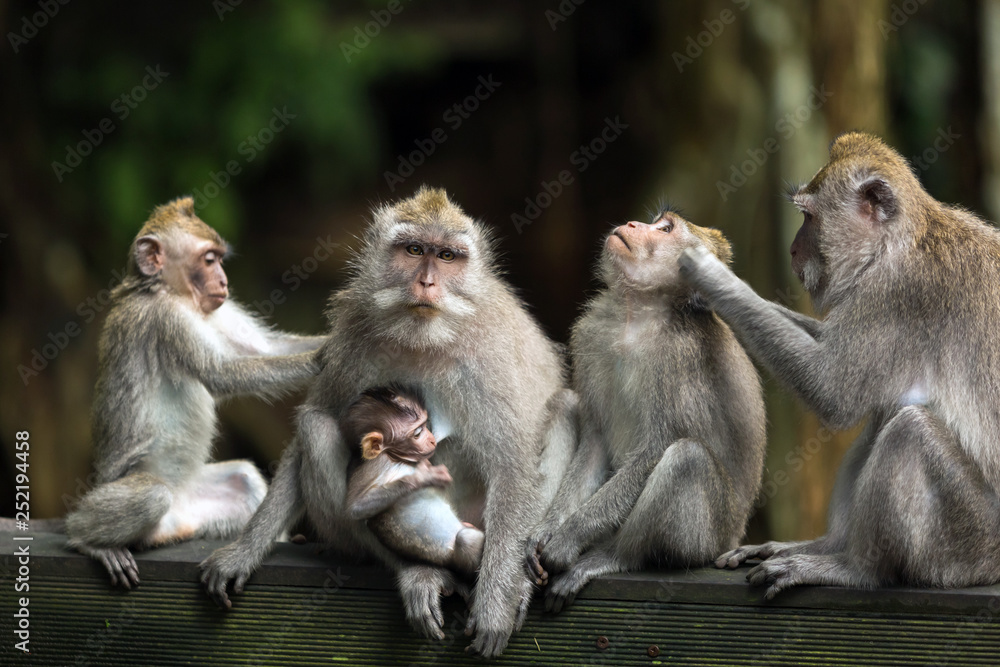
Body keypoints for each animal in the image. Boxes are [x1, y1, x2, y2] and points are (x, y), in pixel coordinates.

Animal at [65, 197, 324, 588]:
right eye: (208, 259)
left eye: (218, 258)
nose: (224, 281)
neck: (162, 290)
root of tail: (176, 523)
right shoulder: (167, 317)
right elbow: (221, 374)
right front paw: (324, 357)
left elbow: (264, 349)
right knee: (147, 496)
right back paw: (88, 541)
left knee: (243, 477)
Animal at [344, 388, 484, 576]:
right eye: (418, 433)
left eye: (426, 424)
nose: (432, 439)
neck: (394, 457)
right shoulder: (374, 465)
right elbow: (355, 507)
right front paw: (423, 477)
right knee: (466, 539)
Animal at [524, 209, 764, 612]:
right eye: (656, 221)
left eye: (665, 229)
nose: (634, 224)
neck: (637, 316)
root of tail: (732, 538)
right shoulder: (592, 335)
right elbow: (595, 444)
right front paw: (545, 531)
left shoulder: (678, 359)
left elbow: (653, 451)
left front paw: (567, 540)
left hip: (706, 539)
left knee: (686, 457)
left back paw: (615, 557)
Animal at [684, 133, 1000, 604]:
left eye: (809, 217)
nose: (793, 249)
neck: (900, 240)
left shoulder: (898, 293)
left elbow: (833, 392)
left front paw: (708, 273)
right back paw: (827, 546)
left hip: (970, 543)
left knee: (908, 430)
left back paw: (858, 569)